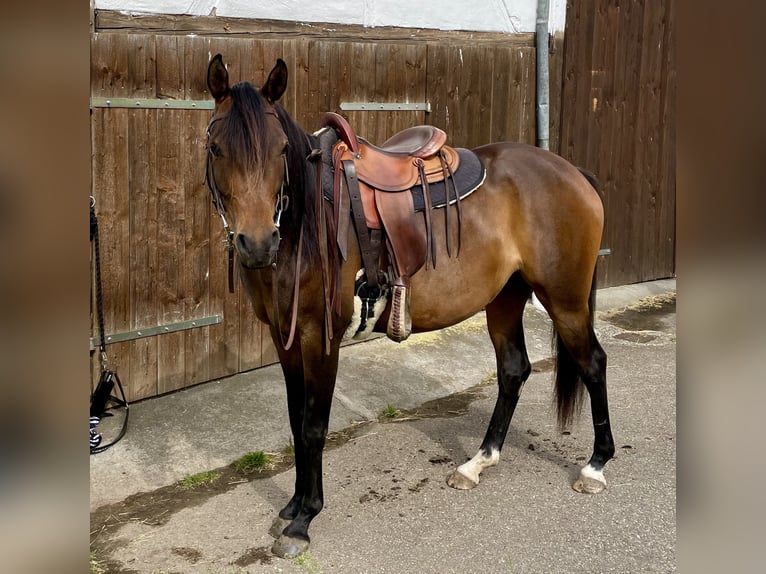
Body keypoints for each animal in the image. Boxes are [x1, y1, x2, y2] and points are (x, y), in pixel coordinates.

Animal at [204, 56, 616, 560]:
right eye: (216, 147)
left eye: (281, 149)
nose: (259, 243)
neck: (304, 223)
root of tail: (572, 171)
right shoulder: (284, 338)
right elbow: (295, 419)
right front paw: (292, 505)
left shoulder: (320, 337)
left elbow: (313, 426)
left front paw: (304, 519)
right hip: (504, 299)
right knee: (514, 370)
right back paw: (478, 462)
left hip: (566, 300)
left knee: (592, 364)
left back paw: (595, 466)